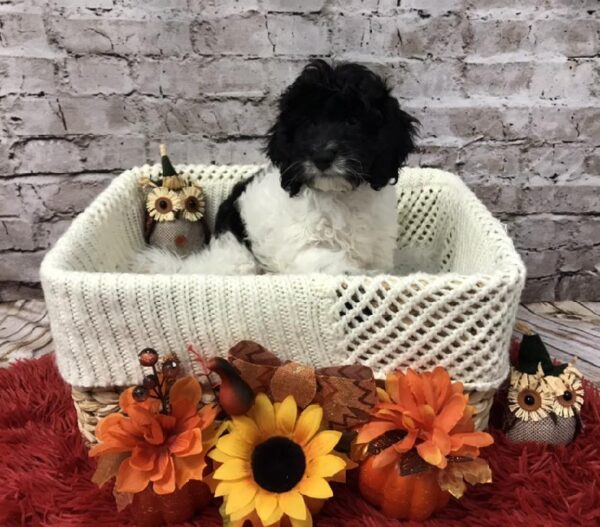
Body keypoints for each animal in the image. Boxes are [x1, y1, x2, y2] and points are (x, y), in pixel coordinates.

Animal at [137, 60, 418, 276]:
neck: (338, 196)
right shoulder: (301, 249)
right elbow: (329, 262)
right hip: (239, 257)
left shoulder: (378, 248)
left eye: (353, 121)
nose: (322, 156)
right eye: (307, 123)